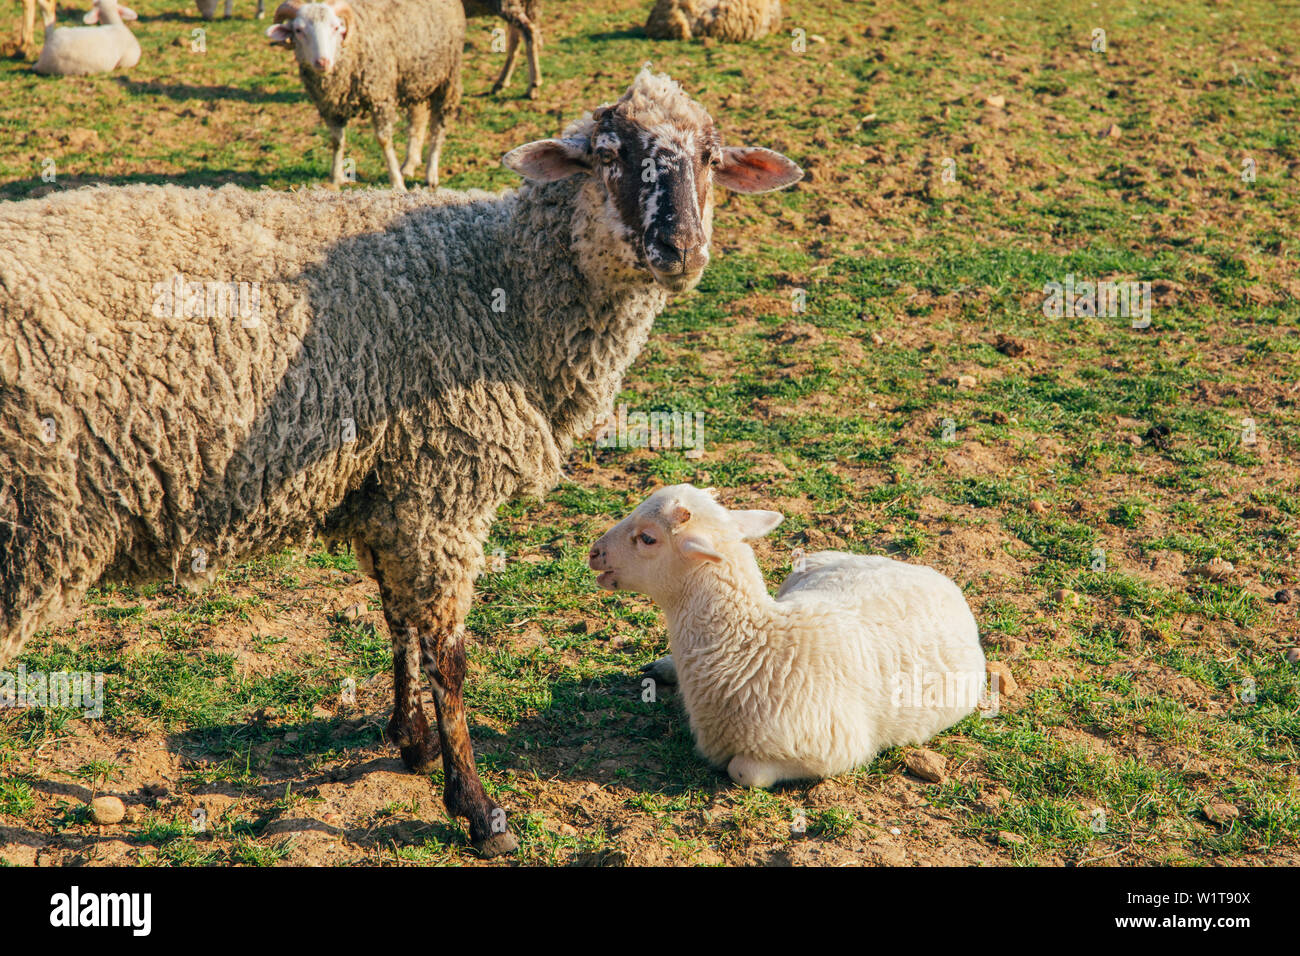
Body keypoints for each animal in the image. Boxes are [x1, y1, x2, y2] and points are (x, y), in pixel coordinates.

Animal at [0, 69, 802, 855]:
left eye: (710, 157)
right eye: (608, 154)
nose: (681, 251)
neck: (501, 285)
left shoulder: (392, 487)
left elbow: (397, 619)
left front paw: (410, 740)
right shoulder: (442, 486)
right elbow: (448, 652)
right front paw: (476, 809)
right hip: (29, 532)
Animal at [266, 0, 465, 191]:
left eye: (336, 27)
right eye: (298, 30)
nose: (322, 62)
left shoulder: (380, 95)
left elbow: (384, 140)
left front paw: (397, 183)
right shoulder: (330, 105)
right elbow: (336, 141)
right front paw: (335, 178)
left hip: (447, 76)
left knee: (438, 127)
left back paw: (431, 174)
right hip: (416, 76)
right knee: (418, 118)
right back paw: (409, 164)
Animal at [587, 485, 988, 788]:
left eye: (647, 538)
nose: (593, 552)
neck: (755, 646)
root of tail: (933, 575)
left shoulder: (838, 750)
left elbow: (742, 771)